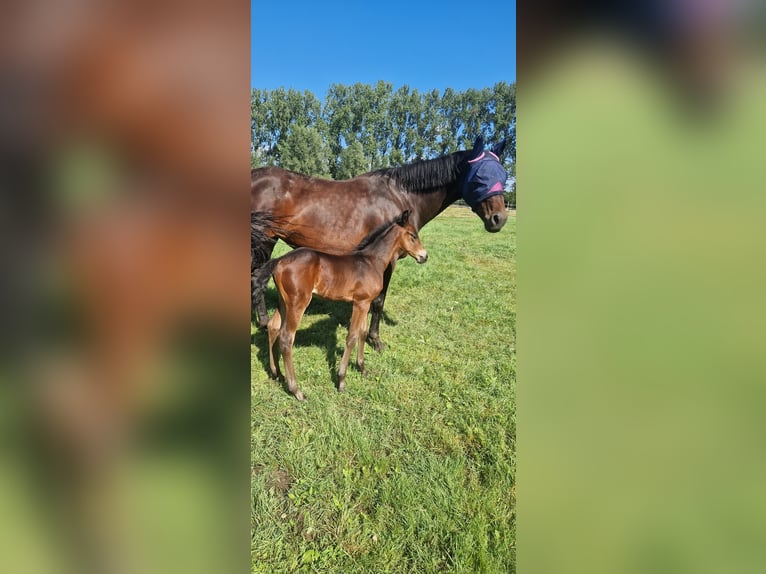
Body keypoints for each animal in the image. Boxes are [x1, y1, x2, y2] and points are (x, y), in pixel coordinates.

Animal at [252, 136, 510, 354]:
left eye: (503, 175)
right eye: (479, 177)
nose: (499, 219)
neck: (400, 195)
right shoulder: (388, 261)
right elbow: (379, 300)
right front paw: (374, 340)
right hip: (263, 240)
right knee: (256, 279)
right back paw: (263, 323)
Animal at [254, 209, 428, 402]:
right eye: (413, 235)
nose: (424, 256)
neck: (371, 261)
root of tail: (278, 261)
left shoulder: (365, 303)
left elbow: (362, 333)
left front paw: (362, 369)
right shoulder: (360, 303)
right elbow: (352, 337)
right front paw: (341, 381)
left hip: (284, 302)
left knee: (273, 326)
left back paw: (277, 373)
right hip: (297, 303)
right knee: (286, 338)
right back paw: (296, 391)